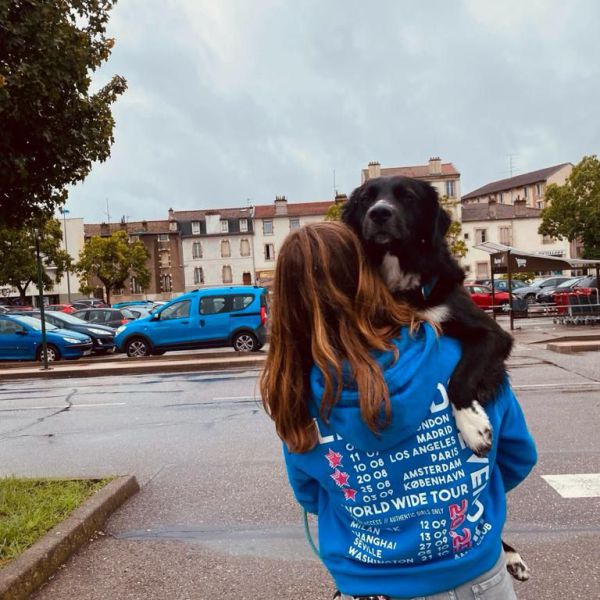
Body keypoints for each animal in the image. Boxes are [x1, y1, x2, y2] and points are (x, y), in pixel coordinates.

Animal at [342, 175, 528, 580]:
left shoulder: (492, 334)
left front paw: (474, 427)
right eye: (366, 199)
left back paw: (510, 556)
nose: (379, 213)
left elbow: (460, 378)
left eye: (407, 196)